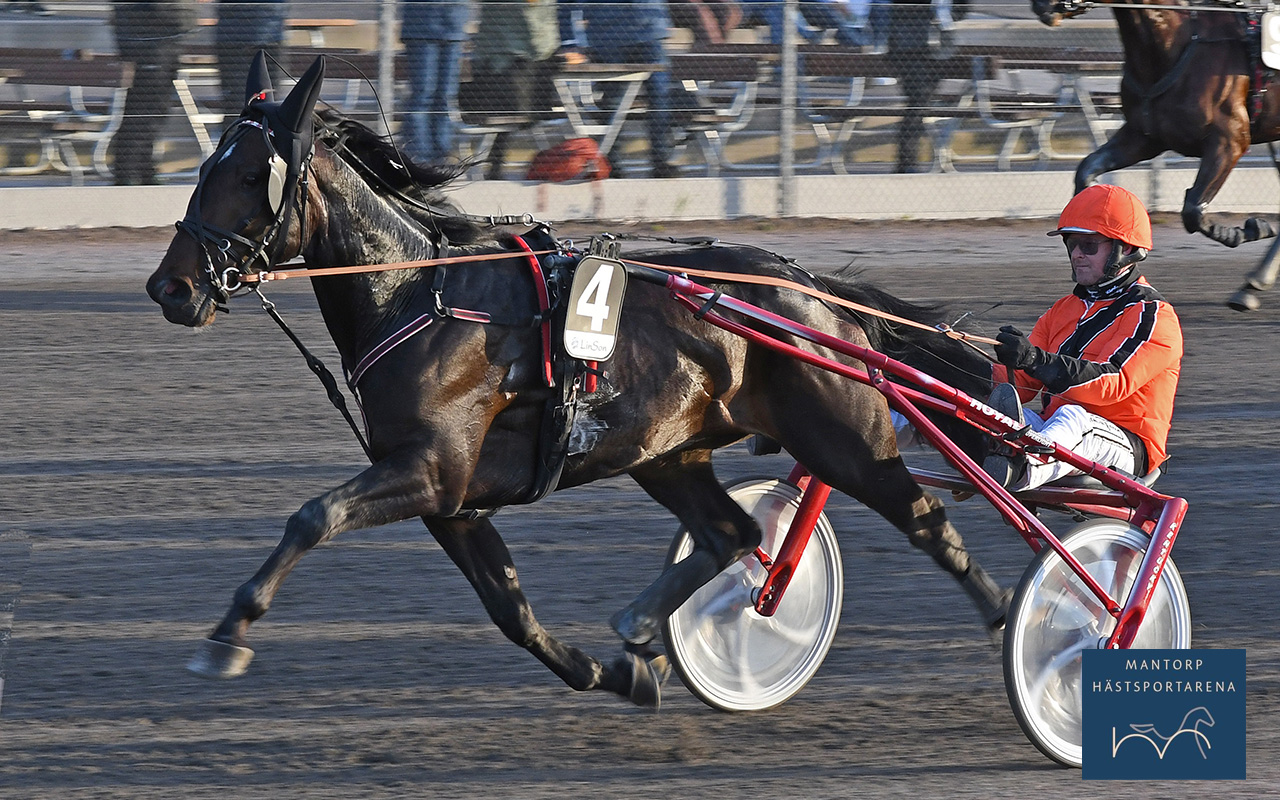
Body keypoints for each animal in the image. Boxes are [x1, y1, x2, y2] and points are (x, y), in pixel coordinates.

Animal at [147, 54, 1008, 706]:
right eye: (204, 165)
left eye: (250, 174)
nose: (170, 288)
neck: (419, 293)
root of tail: (808, 289)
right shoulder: (452, 499)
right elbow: (509, 608)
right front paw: (614, 674)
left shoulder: (430, 469)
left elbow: (311, 517)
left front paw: (227, 635)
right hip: (669, 452)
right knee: (733, 533)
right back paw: (641, 629)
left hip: (843, 438)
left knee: (925, 518)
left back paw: (1011, 620)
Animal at [1029, 0, 1280, 311]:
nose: (1041, 6)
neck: (1174, 43)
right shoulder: (1143, 136)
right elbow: (1087, 170)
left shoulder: (1230, 140)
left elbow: (1193, 210)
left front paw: (1250, 229)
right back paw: (1253, 285)